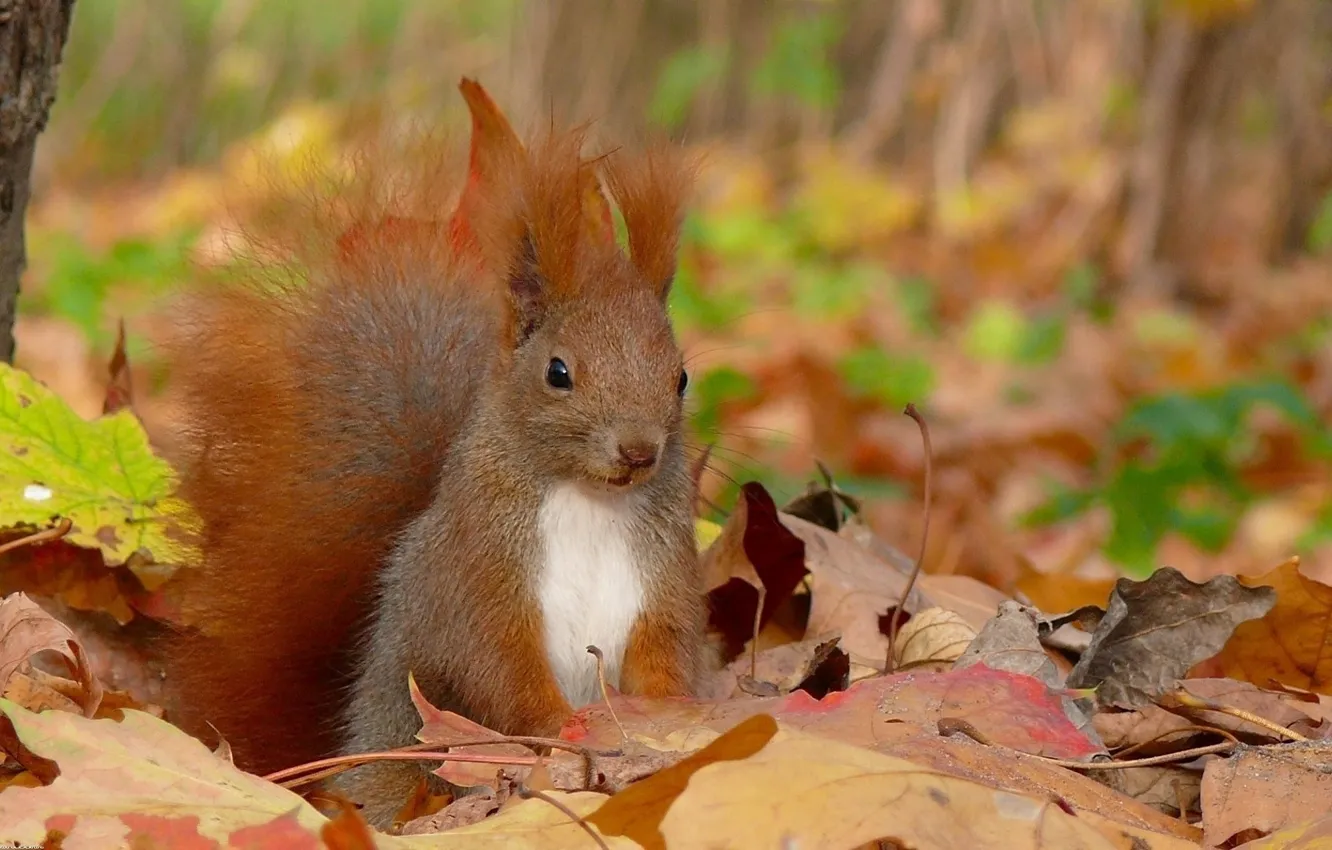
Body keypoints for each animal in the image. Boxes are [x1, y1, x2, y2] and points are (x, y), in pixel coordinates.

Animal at [155, 78, 708, 826]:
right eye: (558, 372)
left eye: (680, 377)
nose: (638, 451)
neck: (589, 499)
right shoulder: (478, 576)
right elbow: (498, 668)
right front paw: (564, 729)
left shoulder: (663, 577)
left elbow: (664, 656)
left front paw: (671, 720)